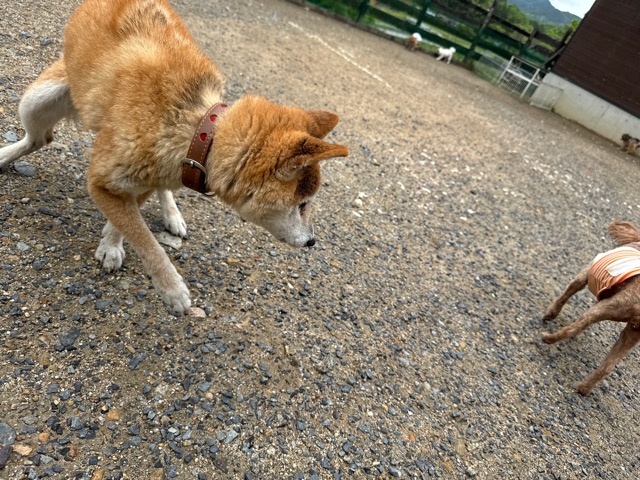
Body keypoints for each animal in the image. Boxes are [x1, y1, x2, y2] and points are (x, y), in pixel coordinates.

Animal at [0, 0, 349, 314]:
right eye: (302, 205)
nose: (312, 242)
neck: (198, 130)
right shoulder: (103, 179)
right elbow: (143, 237)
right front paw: (172, 289)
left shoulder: (146, 177)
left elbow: (128, 220)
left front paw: (111, 242)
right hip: (38, 99)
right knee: (37, 139)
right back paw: (6, 155)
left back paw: (172, 213)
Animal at [541, 221, 640, 394]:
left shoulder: (584, 275)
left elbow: (565, 295)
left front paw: (550, 313)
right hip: (632, 332)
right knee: (608, 366)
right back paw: (583, 388)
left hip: (609, 307)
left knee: (572, 328)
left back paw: (547, 338)